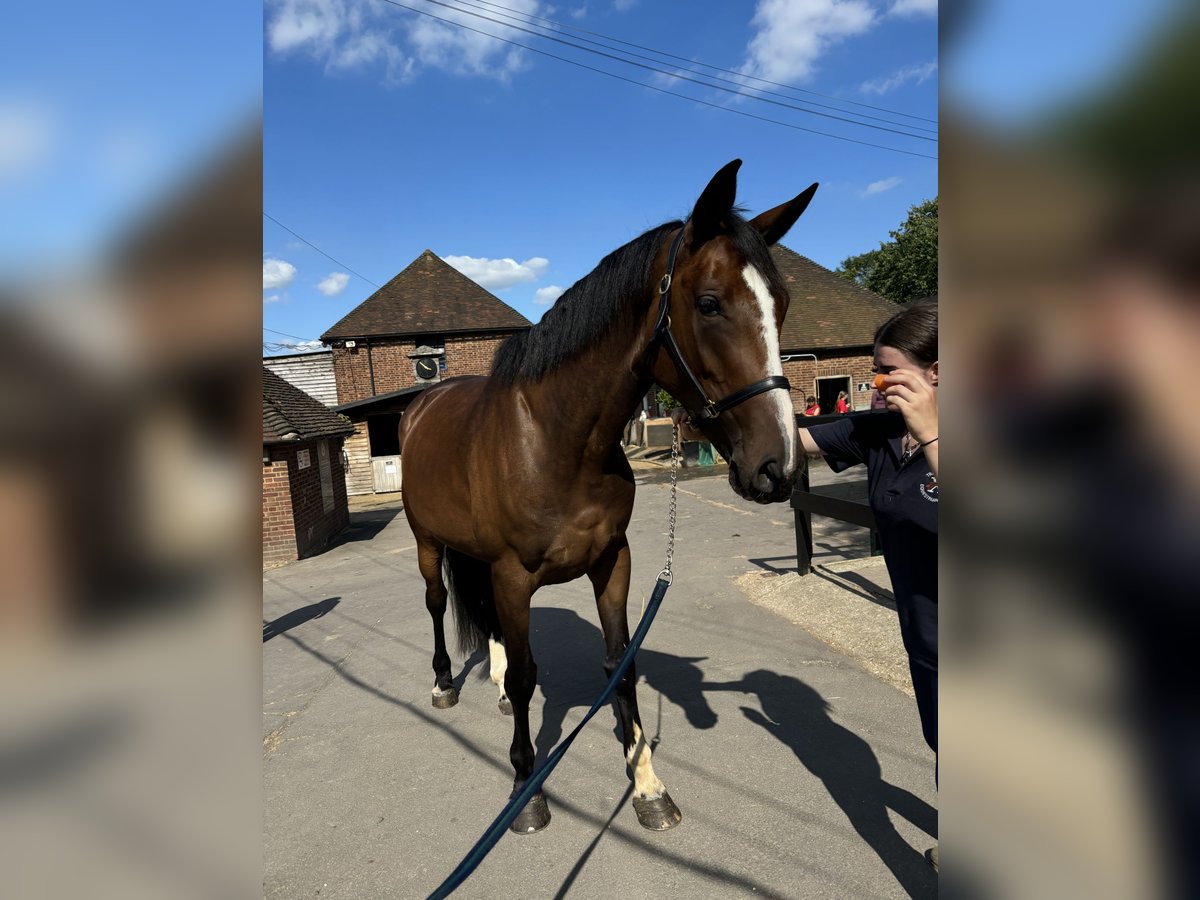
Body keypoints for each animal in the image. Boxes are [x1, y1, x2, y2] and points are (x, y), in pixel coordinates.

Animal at [400, 158, 816, 835]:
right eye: (709, 303)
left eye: (781, 305)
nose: (778, 468)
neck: (559, 441)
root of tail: (423, 402)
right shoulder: (513, 576)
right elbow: (530, 677)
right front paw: (526, 789)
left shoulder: (612, 561)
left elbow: (619, 665)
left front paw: (647, 785)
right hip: (427, 543)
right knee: (438, 605)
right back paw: (444, 684)